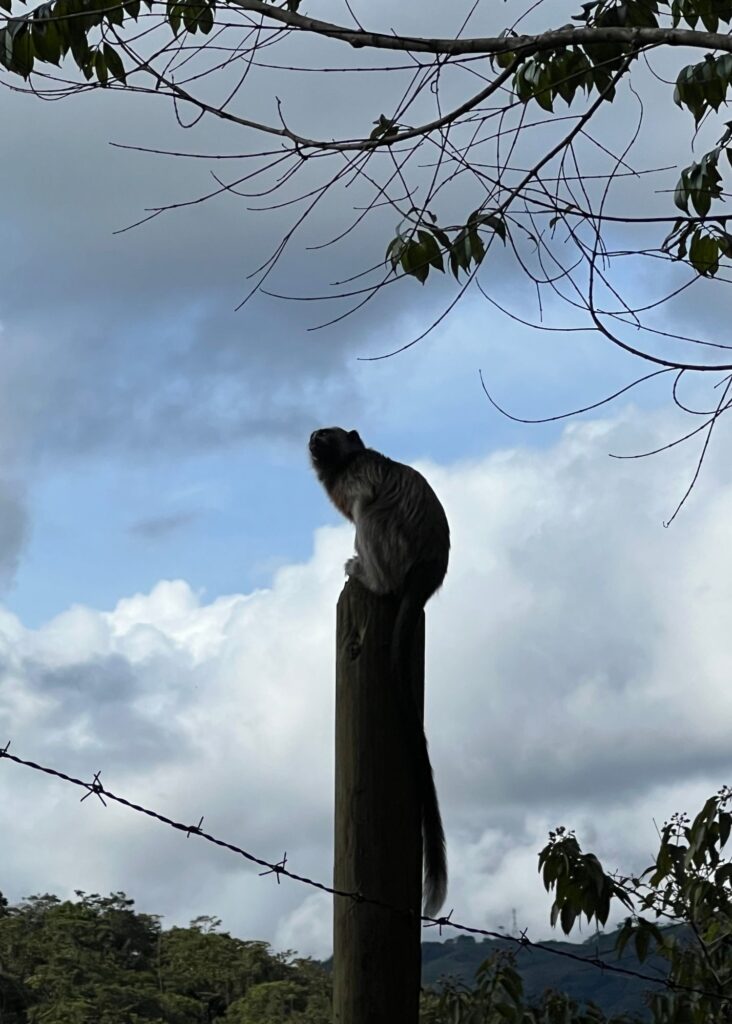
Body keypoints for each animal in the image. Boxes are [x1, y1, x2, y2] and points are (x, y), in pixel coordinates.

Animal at [309, 426, 449, 917]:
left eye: (327, 436)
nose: (314, 440)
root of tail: (427, 575)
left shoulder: (359, 475)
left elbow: (364, 500)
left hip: (395, 551)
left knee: (369, 518)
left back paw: (370, 577)